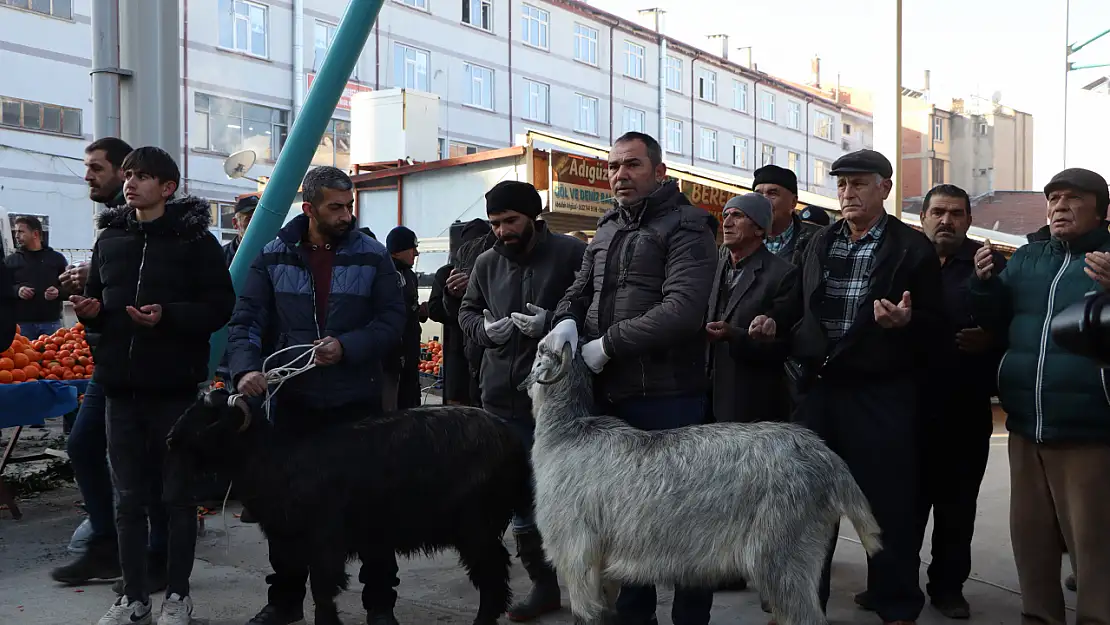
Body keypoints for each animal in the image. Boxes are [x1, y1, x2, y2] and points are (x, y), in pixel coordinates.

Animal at [168, 390, 532, 625]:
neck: (280, 461)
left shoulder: (326, 541)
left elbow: (322, 589)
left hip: (476, 525)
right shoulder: (294, 541)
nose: (170, 439)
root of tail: (511, 438)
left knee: (492, 571)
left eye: (210, 415)